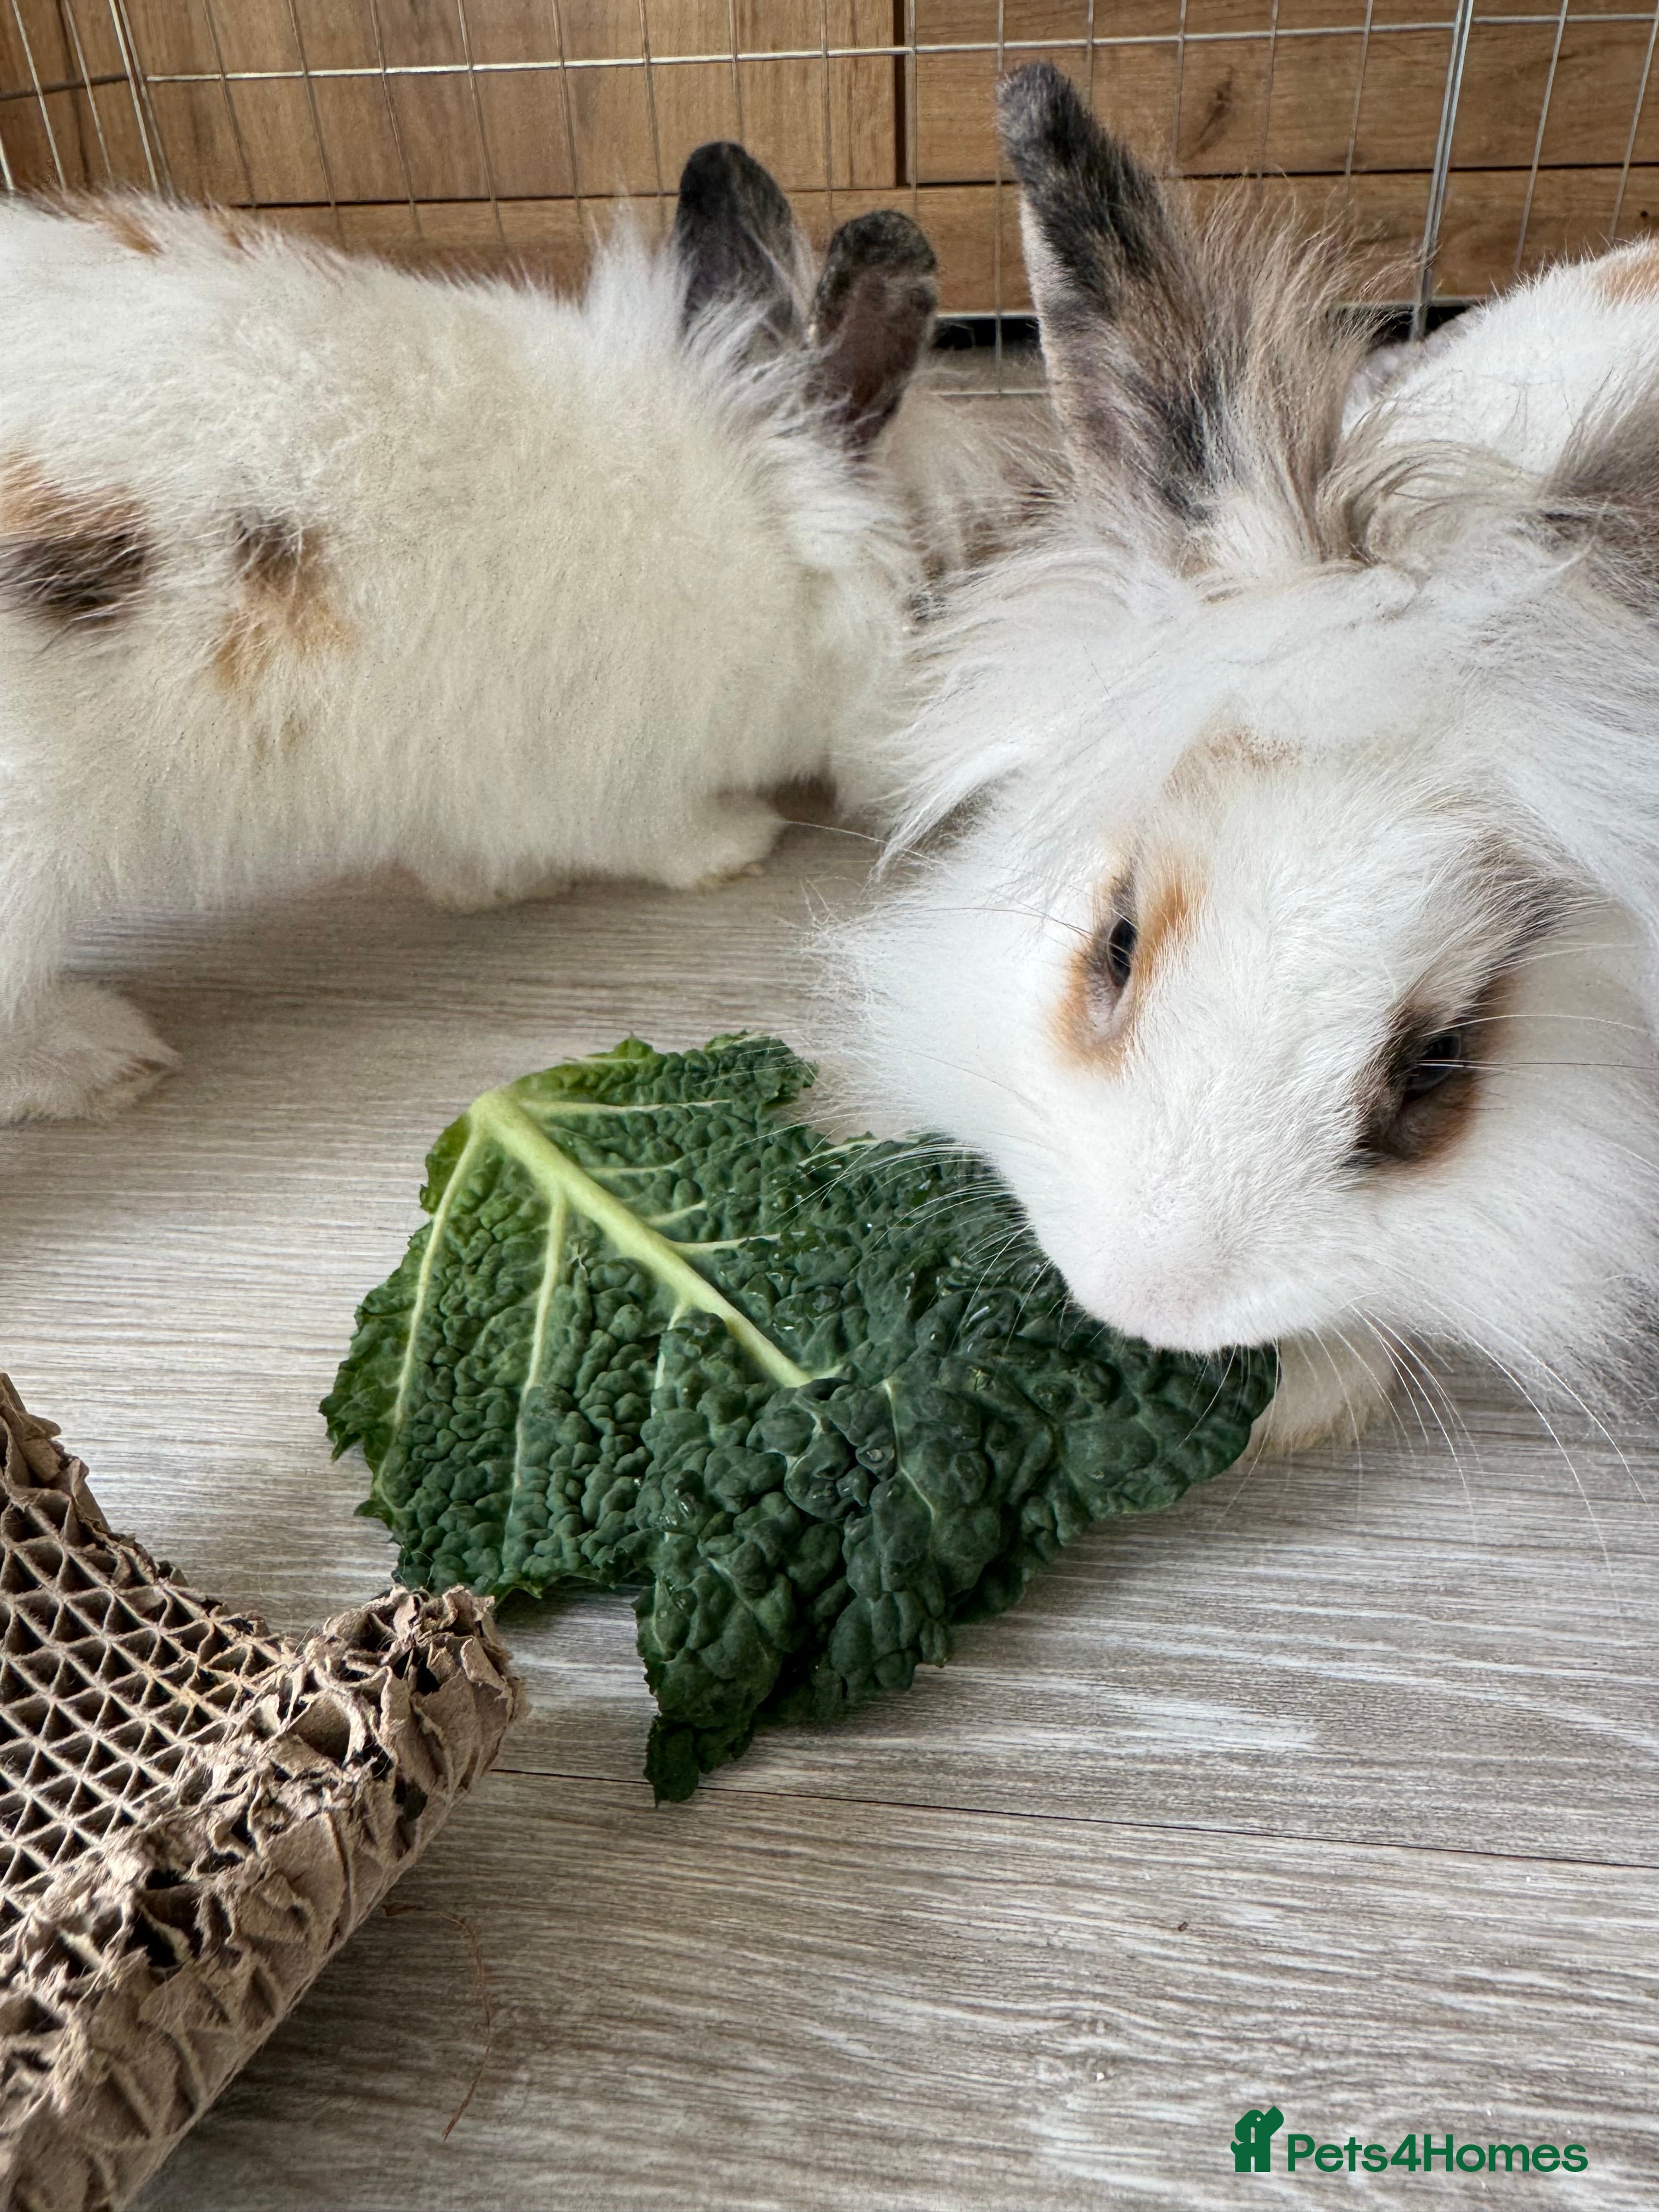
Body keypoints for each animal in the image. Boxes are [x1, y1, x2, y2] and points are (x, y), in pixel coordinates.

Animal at [0, 141, 1048, 1124]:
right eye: (945, 590)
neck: (769, 528)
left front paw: (489, 887)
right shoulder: (607, 769)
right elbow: (651, 835)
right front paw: (735, 843)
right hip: (35, 850)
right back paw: (102, 1056)